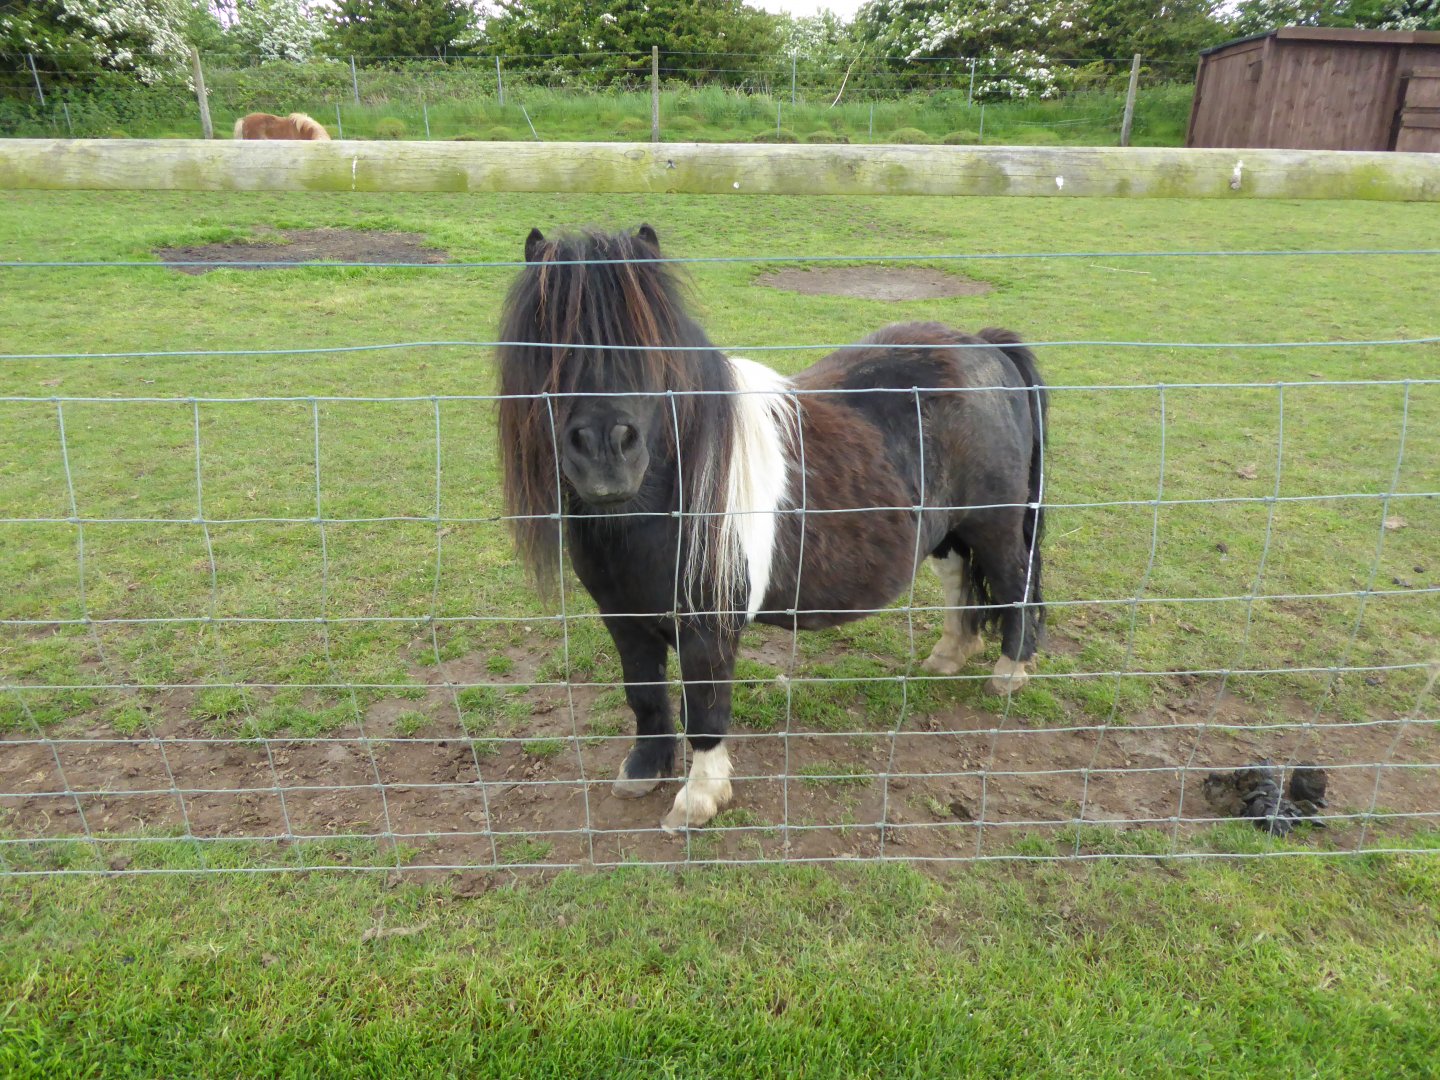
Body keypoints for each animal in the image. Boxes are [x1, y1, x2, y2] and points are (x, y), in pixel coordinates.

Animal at [497, 225, 1047, 833]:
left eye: (651, 345)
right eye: (545, 341)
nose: (604, 453)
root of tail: (985, 345)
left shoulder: (708, 625)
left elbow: (706, 706)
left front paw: (700, 798)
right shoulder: (623, 618)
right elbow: (643, 691)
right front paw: (644, 767)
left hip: (996, 524)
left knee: (1016, 584)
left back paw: (1009, 672)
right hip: (950, 530)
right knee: (959, 582)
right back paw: (948, 656)